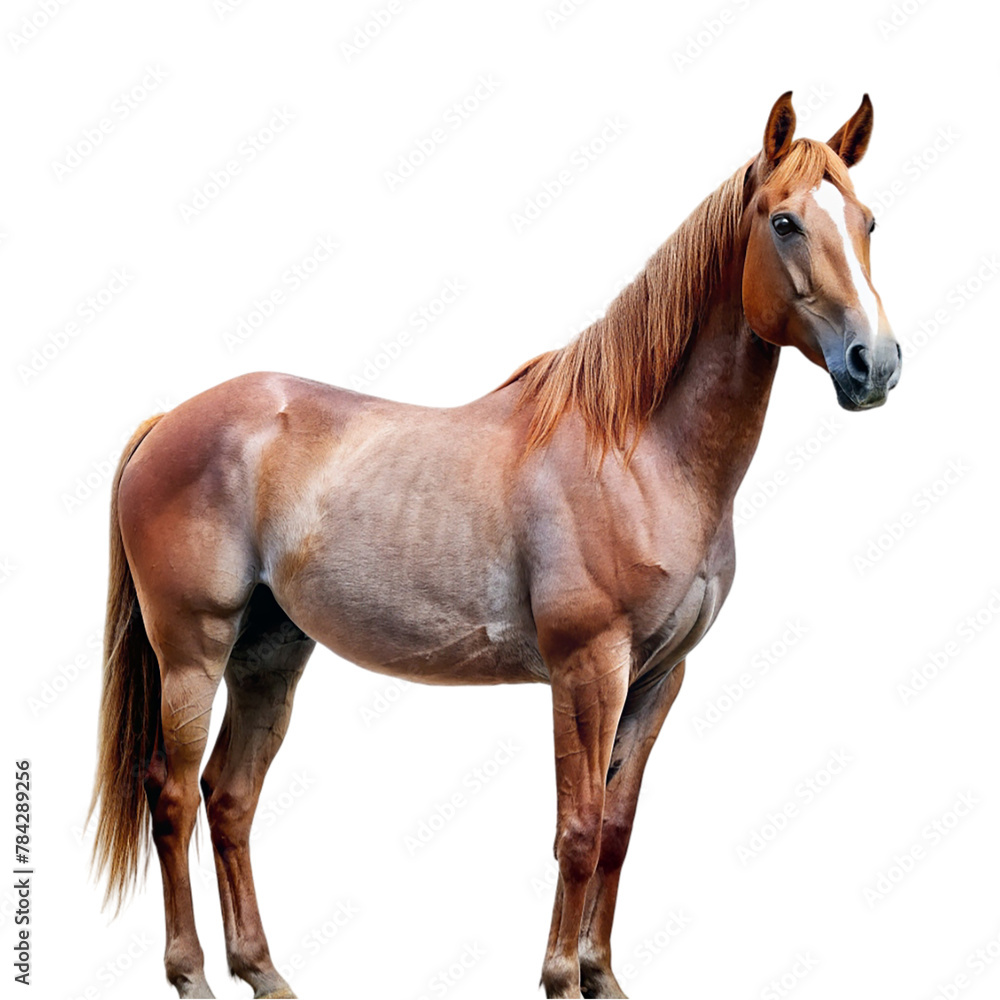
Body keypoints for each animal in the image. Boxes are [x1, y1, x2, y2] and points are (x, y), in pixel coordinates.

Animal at [89, 91, 900, 999]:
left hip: (269, 654)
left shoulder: (659, 678)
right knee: (172, 799)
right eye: (786, 221)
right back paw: (191, 974)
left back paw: (263, 972)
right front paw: (559, 978)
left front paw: (600, 977)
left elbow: (617, 831)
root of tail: (171, 420)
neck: (640, 449)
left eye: (867, 220)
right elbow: (577, 828)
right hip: (192, 651)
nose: (875, 364)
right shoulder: (588, 670)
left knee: (229, 799)